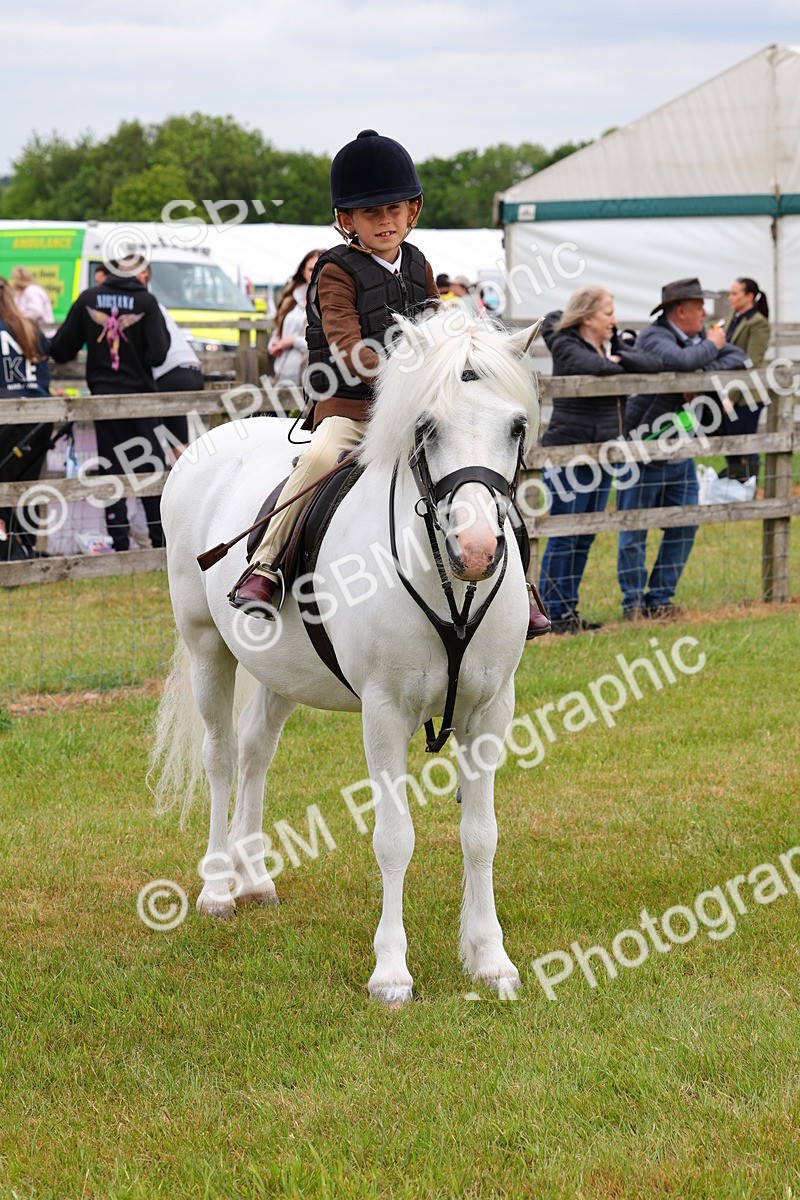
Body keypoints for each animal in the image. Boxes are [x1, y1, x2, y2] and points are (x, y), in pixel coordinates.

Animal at [152, 308, 540, 1004]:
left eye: (516, 427)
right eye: (427, 426)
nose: (475, 548)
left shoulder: (491, 710)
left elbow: (481, 835)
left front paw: (489, 959)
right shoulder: (384, 715)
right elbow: (394, 838)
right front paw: (391, 972)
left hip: (280, 673)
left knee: (255, 753)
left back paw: (255, 880)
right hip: (205, 648)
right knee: (220, 758)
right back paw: (219, 887)